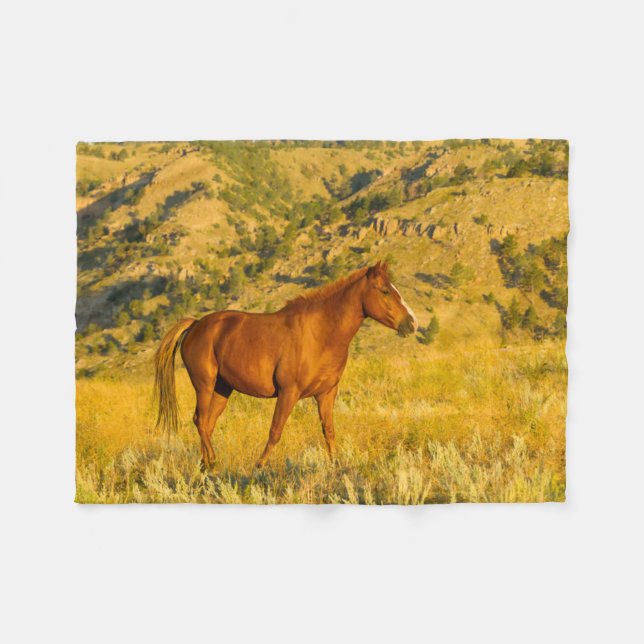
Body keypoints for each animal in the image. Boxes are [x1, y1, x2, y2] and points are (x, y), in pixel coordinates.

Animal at [154, 261, 418, 468]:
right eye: (385, 291)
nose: (412, 323)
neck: (320, 333)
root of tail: (196, 325)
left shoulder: (326, 394)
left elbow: (328, 431)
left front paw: (335, 465)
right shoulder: (288, 393)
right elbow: (275, 431)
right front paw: (259, 466)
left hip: (222, 389)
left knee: (207, 424)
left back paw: (206, 465)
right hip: (204, 386)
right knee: (200, 421)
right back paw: (213, 462)